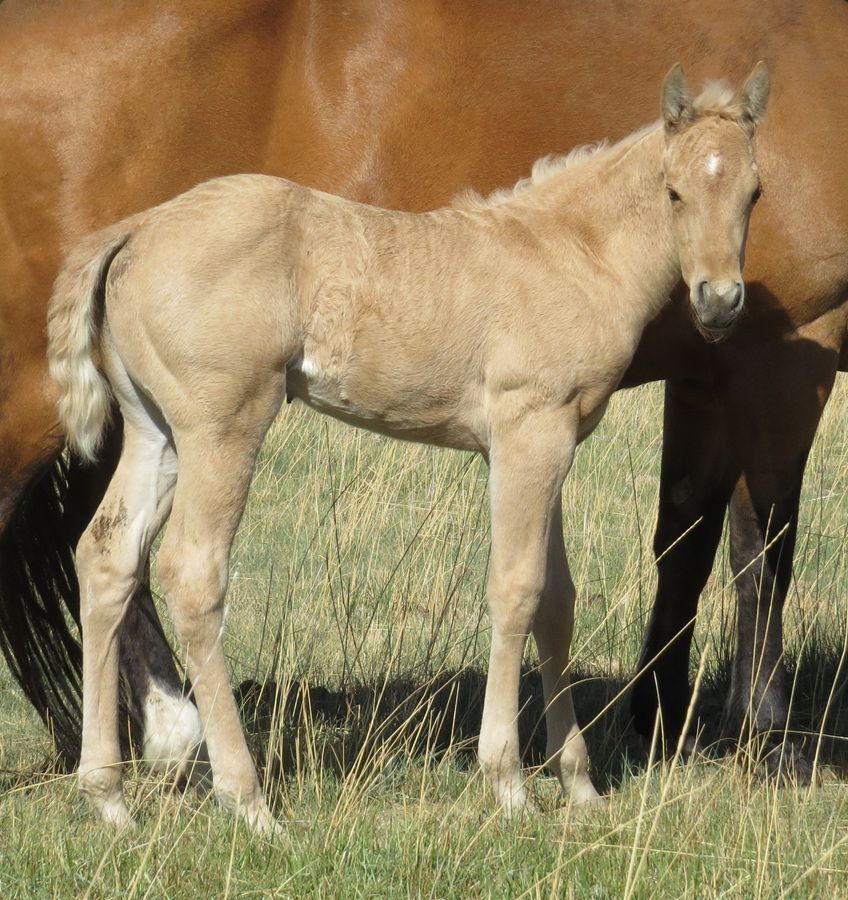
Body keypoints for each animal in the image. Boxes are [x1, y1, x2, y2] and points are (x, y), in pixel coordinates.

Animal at [1, 0, 846, 778]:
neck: (563, 250)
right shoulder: (706, 385)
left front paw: (608, 753)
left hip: (156, 429)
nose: (719, 303)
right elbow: (737, 544)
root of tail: (134, 231)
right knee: (184, 570)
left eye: (756, 193)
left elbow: (600, 575)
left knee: (107, 552)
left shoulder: (560, 433)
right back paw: (230, 784)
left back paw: (128, 772)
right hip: (202, 428)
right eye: (672, 193)